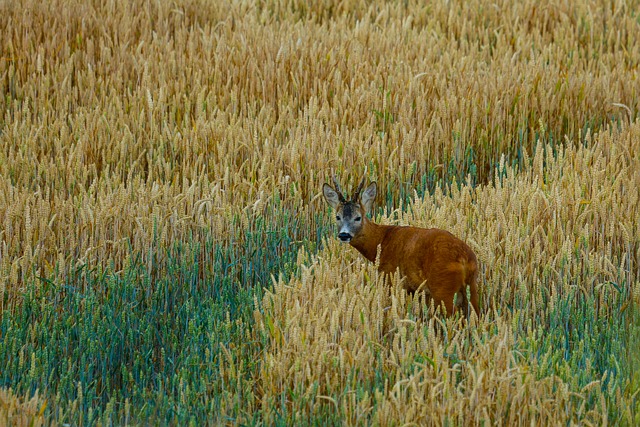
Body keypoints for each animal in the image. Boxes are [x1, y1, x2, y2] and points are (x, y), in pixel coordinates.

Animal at [322, 175, 478, 318]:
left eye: (357, 217)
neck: (382, 240)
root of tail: (464, 258)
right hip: (472, 286)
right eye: (337, 217)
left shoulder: (390, 276)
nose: (344, 235)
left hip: (443, 287)